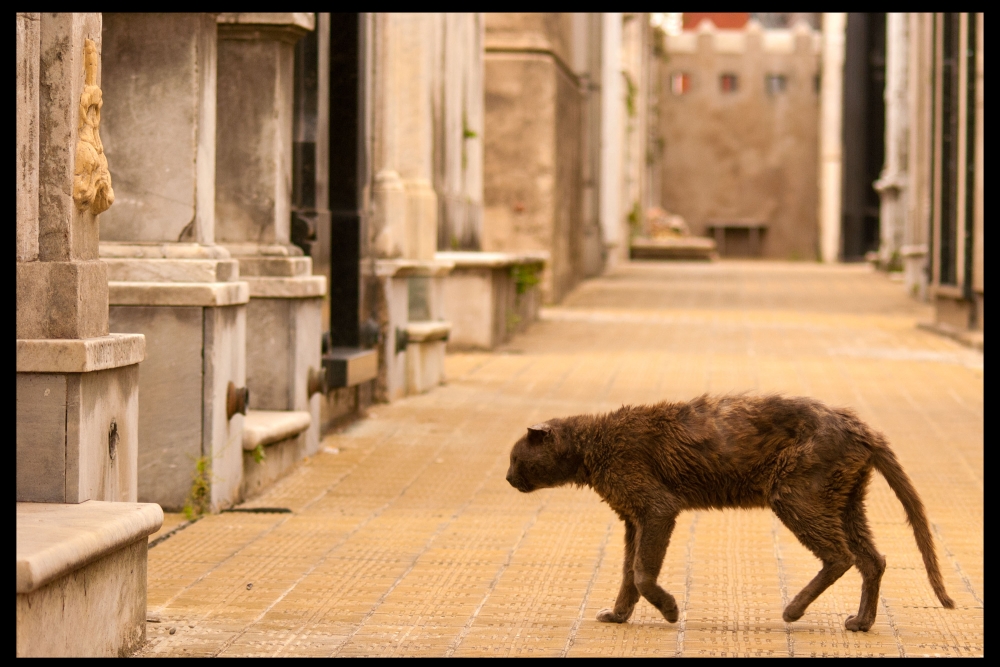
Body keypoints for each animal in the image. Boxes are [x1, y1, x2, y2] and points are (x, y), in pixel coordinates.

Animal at [504, 394, 956, 636]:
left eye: (514, 458)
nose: (507, 478)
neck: (594, 446)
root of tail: (861, 426)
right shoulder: (633, 519)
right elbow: (628, 574)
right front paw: (618, 615)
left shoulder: (656, 509)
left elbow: (642, 574)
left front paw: (669, 610)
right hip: (844, 501)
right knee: (873, 560)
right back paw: (861, 622)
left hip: (796, 495)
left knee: (841, 557)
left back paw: (793, 610)